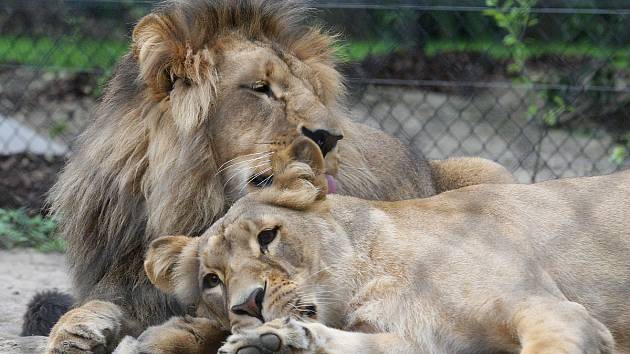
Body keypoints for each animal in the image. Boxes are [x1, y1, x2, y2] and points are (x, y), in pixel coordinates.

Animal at [37, 1, 516, 352]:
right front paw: (75, 334)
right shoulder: (125, 282)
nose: (330, 136)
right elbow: (88, 308)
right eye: (261, 89)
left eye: (313, 91)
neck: (186, 206)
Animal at [141, 138, 628, 354]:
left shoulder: (549, 308)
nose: (247, 305)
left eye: (267, 237)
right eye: (212, 280)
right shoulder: (428, 343)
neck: (369, 281)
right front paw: (278, 340)